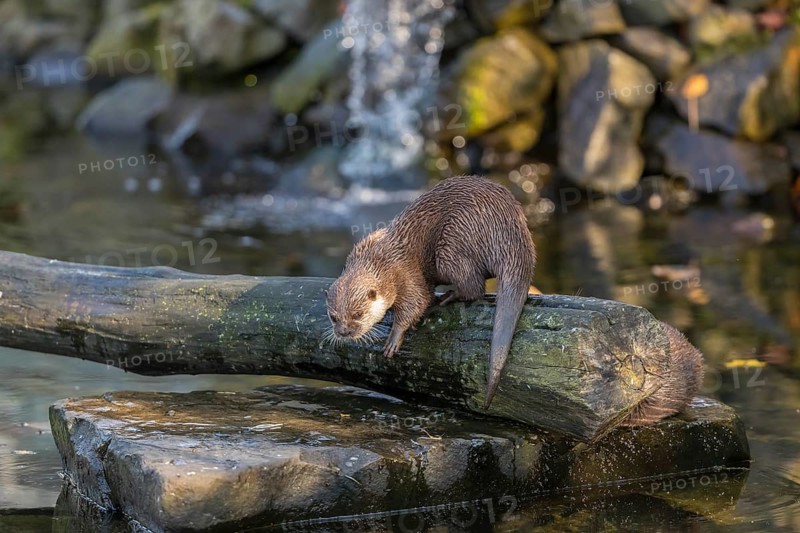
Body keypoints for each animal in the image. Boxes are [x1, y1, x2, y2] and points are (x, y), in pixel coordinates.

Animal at [326, 175, 536, 409]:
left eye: (358, 314)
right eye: (334, 317)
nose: (344, 332)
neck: (380, 261)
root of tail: (512, 227)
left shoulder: (406, 275)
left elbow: (417, 302)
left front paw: (395, 337)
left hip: (452, 244)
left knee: (474, 288)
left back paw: (448, 297)